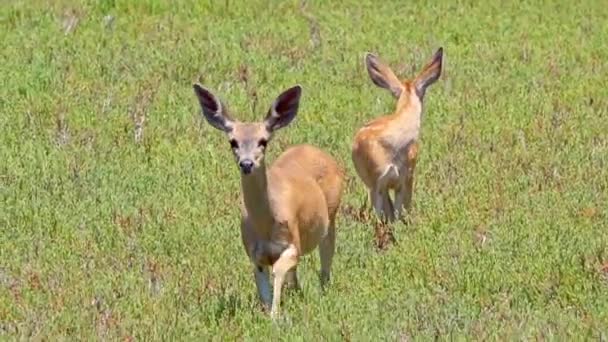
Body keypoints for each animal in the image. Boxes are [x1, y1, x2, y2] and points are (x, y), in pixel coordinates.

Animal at [195, 82, 346, 318]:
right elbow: (264, 288)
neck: (266, 225)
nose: (246, 163)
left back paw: (323, 292)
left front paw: (276, 315)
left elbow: (280, 269)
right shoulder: (254, 254)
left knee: (326, 259)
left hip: (331, 214)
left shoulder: (292, 244)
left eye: (263, 141)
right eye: (233, 142)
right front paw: (269, 313)